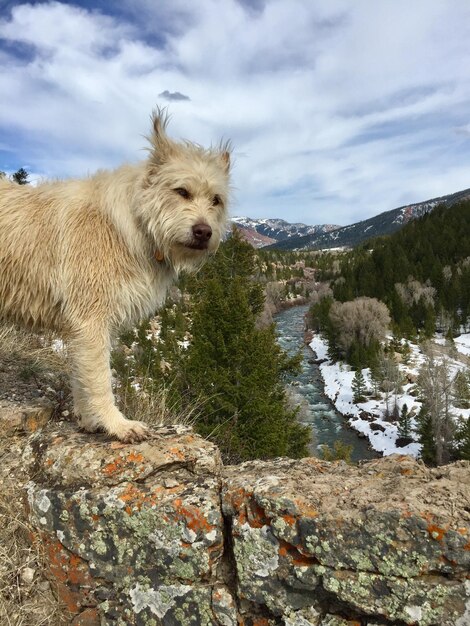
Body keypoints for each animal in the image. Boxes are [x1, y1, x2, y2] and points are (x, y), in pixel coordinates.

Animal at [0, 109, 231, 442]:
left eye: (216, 200)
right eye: (181, 191)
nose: (204, 232)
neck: (136, 224)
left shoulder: (87, 328)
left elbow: (82, 378)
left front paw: (89, 420)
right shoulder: (91, 322)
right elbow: (99, 380)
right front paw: (117, 424)